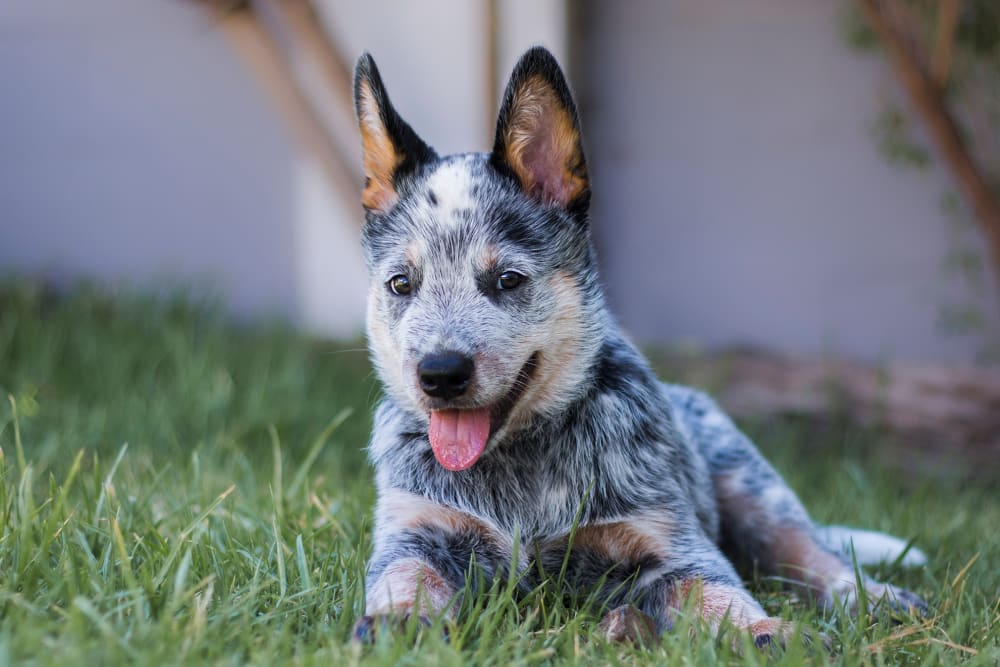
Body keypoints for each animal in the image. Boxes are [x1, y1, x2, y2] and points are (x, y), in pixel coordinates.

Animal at [348, 45, 924, 648]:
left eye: (507, 280)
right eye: (401, 283)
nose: (440, 373)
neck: (520, 464)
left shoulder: (663, 540)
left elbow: (718, 592)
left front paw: (764, 630)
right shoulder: (418, 529)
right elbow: (406, 574)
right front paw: (396, 623)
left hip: (753, 485)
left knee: (807, 550)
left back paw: (873, 597)